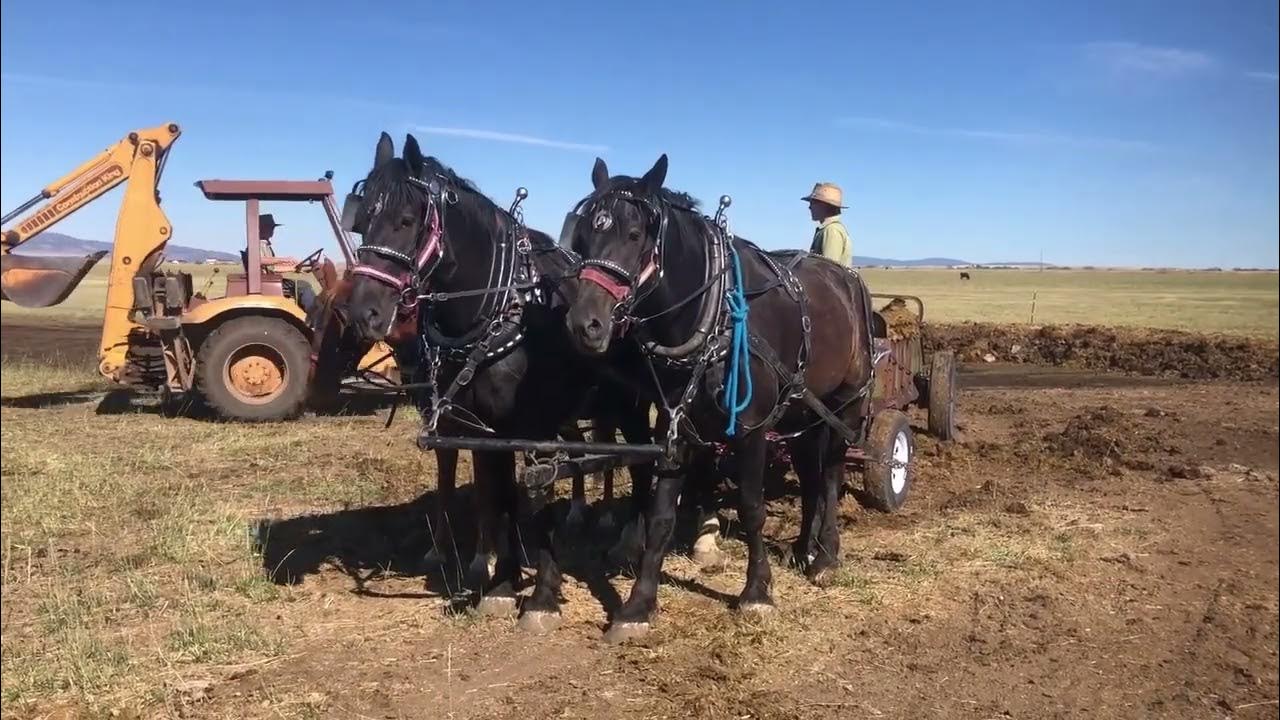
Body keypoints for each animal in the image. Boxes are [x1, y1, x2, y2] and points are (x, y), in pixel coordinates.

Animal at [341, 132, 655, 628]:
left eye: (407, 221)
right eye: (363, 222)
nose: (363, 313)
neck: (503, 311)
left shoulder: (533, 429)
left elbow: (534, 499)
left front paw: (541, 594)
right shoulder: (481, 428)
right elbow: (497, 495)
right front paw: (502, 580)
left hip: (631, 405)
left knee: (643, 463)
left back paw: (629, 540)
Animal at [560, 155, 878, 642]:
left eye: (634, 235)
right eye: (582, 238)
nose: (585, 325)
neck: (714, 314)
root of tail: (849, 280)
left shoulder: (751, 429)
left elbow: (751, 508)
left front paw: (757, 592)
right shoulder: (675, 426)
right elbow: (661, 515)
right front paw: (637, 605)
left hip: (847, 403)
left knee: (829, 474)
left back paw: (825, 556)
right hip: (801, 408)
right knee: (809, 474)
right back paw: (803, 547)